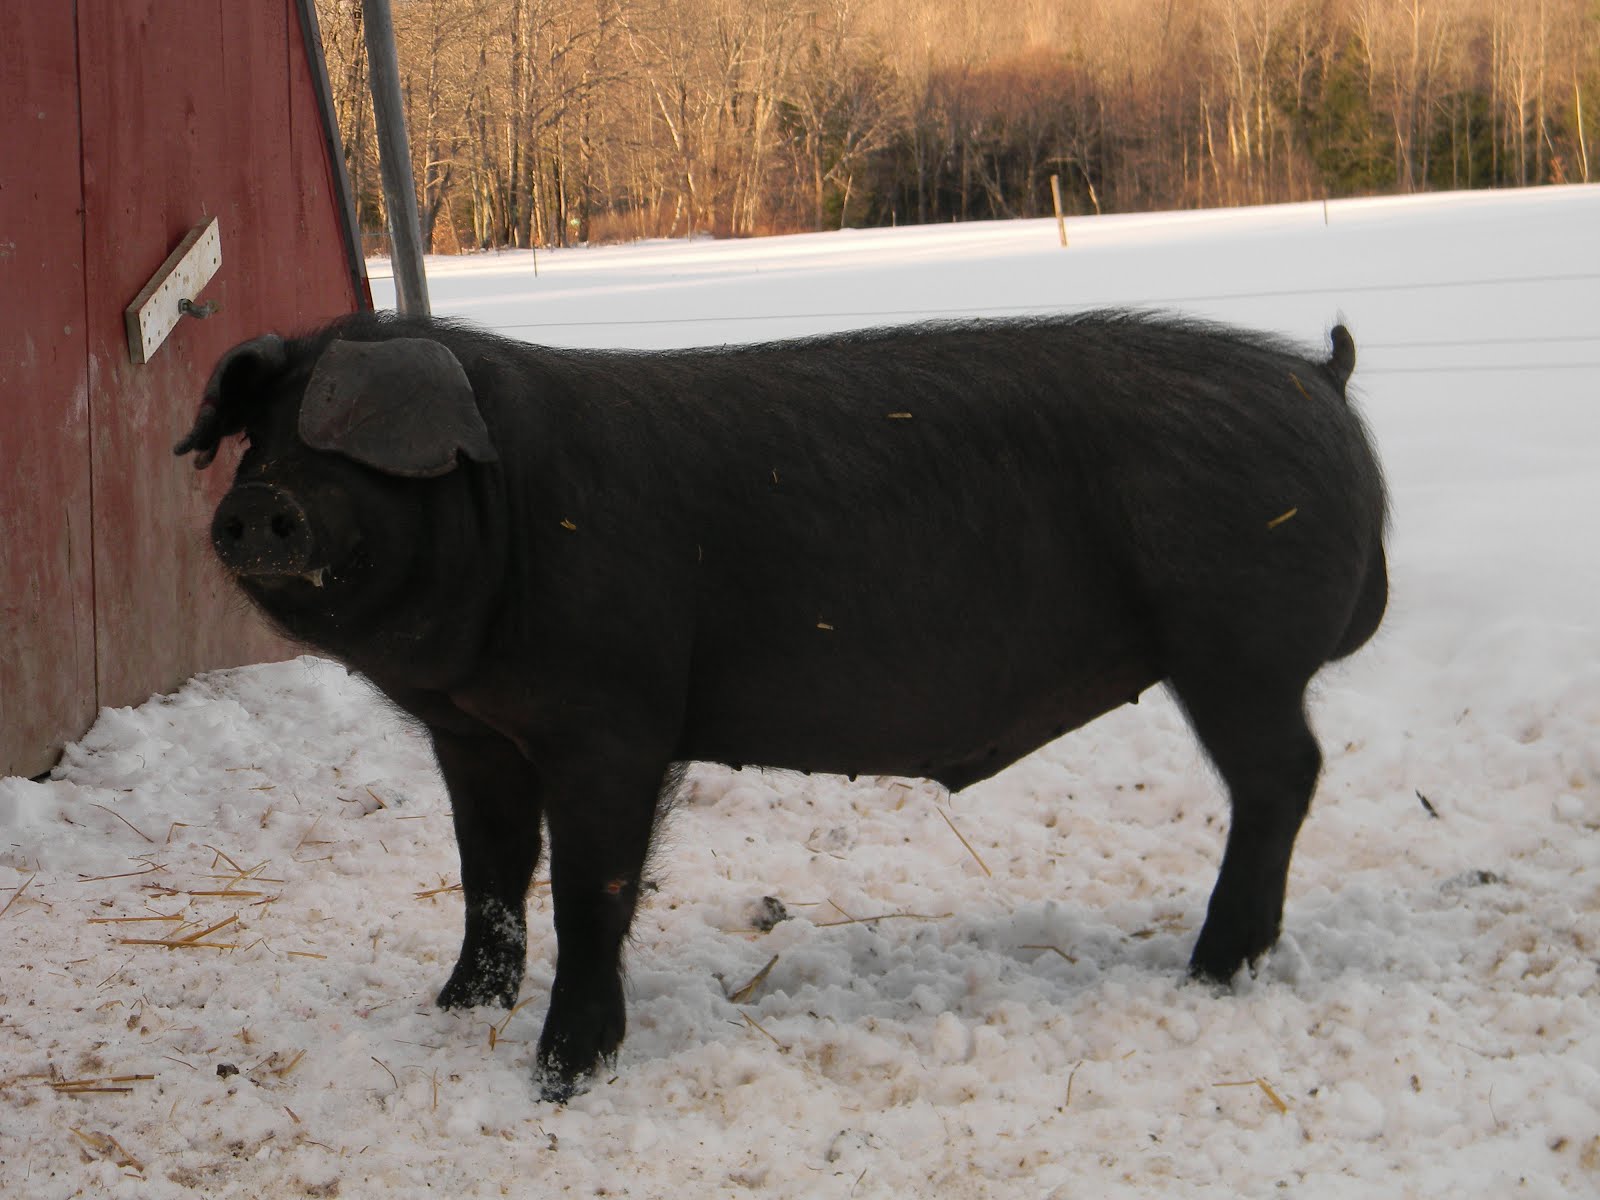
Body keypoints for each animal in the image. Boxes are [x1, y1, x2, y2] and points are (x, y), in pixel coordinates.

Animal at [175, 310, 1388, 1100]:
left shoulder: (612, 722)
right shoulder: (473, 735)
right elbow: (490, 877)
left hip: (1236, 647)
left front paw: (561, 1077)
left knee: (1285, 778)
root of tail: (1323, 383)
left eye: (351, 447)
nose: (259, 503)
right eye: (257, 437)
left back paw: (1211, 970)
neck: (513, 514)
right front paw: (456, 1012)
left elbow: (590, 892)